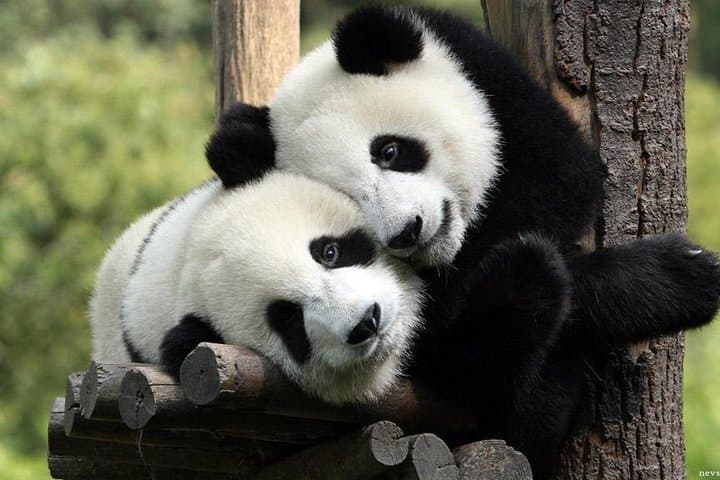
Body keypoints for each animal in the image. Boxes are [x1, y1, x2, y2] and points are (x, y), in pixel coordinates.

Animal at [204, 6, 720, 477]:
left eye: (389, 151)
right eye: (350, 199)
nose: (407, 231)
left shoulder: (489, 80)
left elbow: (562, 176)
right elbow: (456, 341)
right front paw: (681, 276)